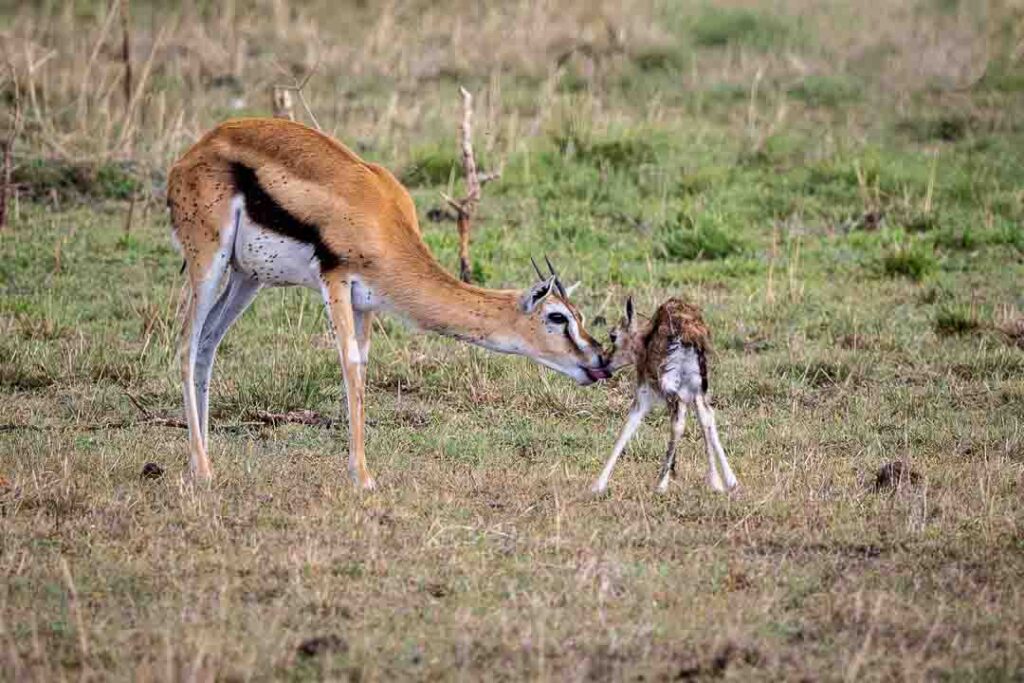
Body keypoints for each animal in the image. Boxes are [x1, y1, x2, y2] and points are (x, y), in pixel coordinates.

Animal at [167, 118, 611, 489]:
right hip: (209, 262)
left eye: (580, 316)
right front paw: (363, 477)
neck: (382, 219)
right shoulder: (334, 280)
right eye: (557, 317)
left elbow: (362, 367)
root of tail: (190, 154)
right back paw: (202, 469)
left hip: (247, 278)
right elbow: (349, 363)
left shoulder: (365, 303)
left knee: (208, 343)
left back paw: (200, 458)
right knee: (186, 344)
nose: (600, 359)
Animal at [591, 297, 738, 494]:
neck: (645, 339)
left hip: (674, 390)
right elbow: (706, 421)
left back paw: (660, 485)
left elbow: (627, 427)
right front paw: (726, 482)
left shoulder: (645, 391)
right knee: (706, 417)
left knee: (678, 425)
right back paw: (718, 482)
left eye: (613, 335)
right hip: (697, 387)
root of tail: (688, 336)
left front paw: (597, 485)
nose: (604, 361)